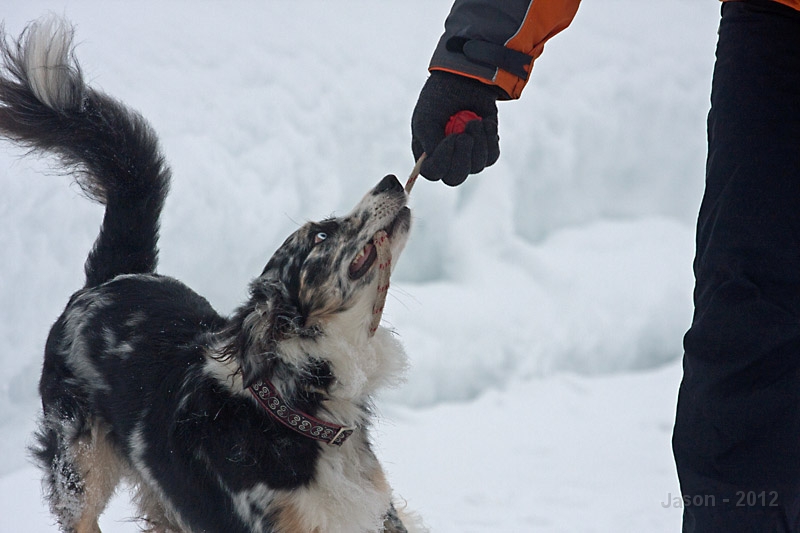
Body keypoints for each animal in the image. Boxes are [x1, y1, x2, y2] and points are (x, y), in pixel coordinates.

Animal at [0, 16, 424, 532]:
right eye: (321, 234)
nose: (390, 179)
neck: (294, 406)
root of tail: (113, 278)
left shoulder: (377, 513)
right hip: (80, 468)